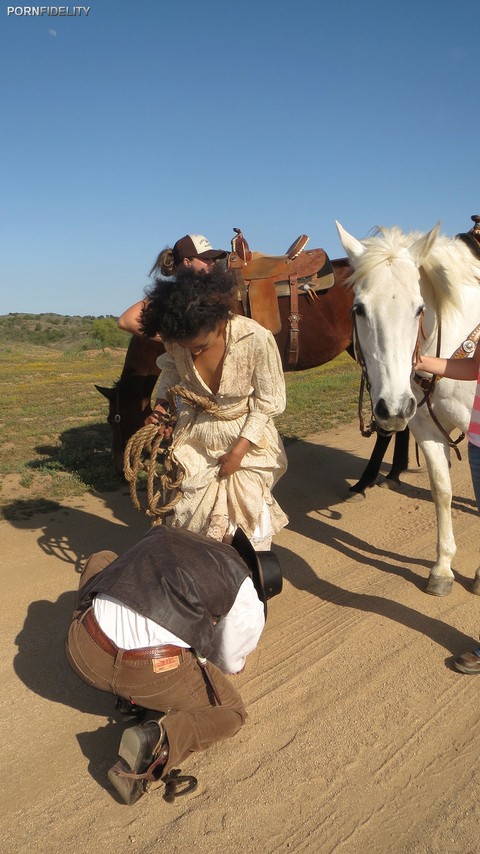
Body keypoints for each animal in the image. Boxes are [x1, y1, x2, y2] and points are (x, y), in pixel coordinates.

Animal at [336, 221, 480, 596]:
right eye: (359, 309)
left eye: (419, 308)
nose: (394, 407)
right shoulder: (426, 430)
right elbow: (442, 491)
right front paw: (442, 567)